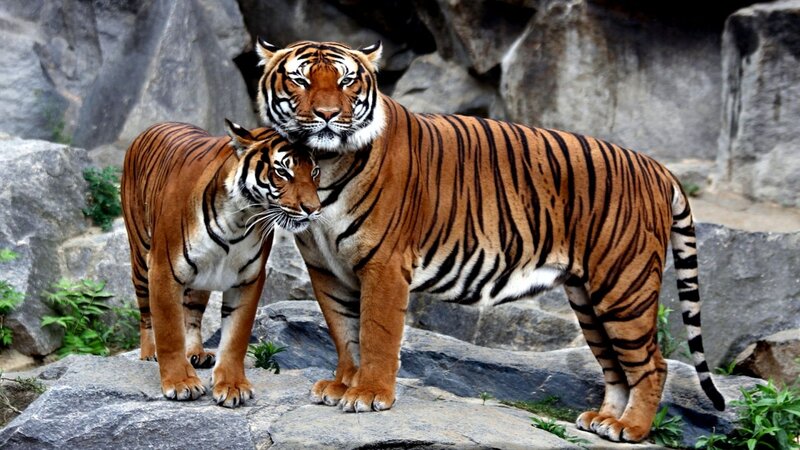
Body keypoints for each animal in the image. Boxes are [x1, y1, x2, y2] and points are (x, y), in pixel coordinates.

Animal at [121, 120, 321, 407]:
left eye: (315, 171)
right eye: (282, 171)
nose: (313, 209)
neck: (239, 219)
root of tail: (155, 125)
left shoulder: (248, 279)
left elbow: (235, 338)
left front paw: (232, 386)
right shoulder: (163, 270)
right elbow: (169, 331)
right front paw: (180, 383)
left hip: (200, 278)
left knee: (192, 315)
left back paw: (196, 353)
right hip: (140, 258)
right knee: (146, 314)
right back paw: (149, 353)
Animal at [254, 38, 725, 442]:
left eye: (347, 81)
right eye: (300, 81)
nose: (328, 115)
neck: (323, 163)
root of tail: (656, 167)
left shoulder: (384, 264)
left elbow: (375, 334)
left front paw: (369, 394)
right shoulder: (325, 268)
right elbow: (343, 333)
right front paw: (341, 385)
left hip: (623, 286)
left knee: (653, 364)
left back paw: (632, 429)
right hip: (589, 300)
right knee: (615, 365)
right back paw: (605, 420)